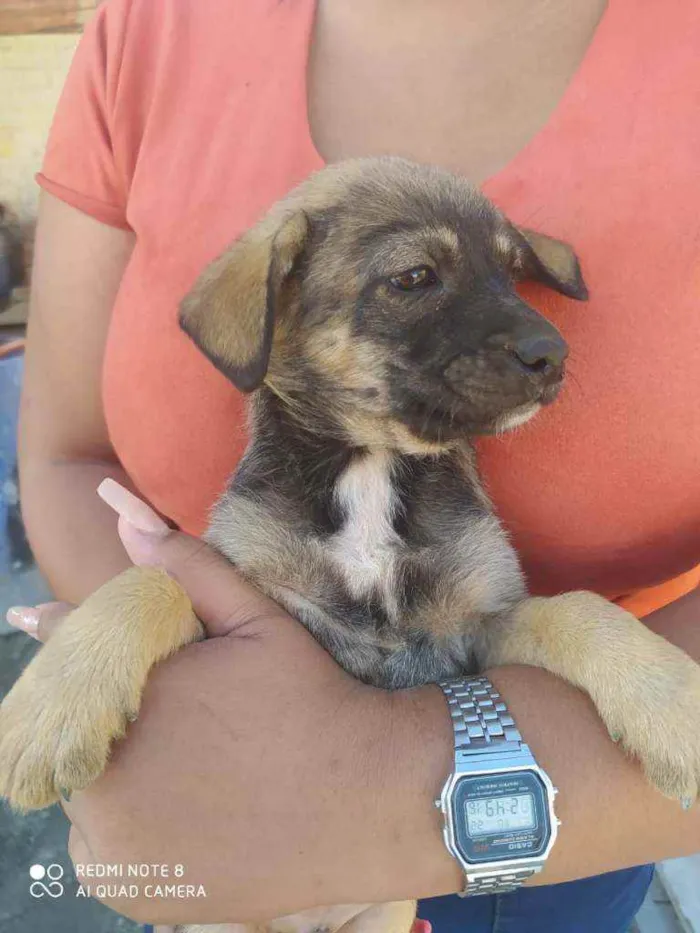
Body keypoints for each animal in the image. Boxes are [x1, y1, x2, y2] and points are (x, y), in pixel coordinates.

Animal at [1, 157, 700, 932]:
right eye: (415, 277)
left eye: (512, 273)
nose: (554, 354)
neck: (370, 466)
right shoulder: (253, 598)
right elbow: (152, 579)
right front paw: (54, 704)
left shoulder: (477, 633)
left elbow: (578, 608)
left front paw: (675, 706)